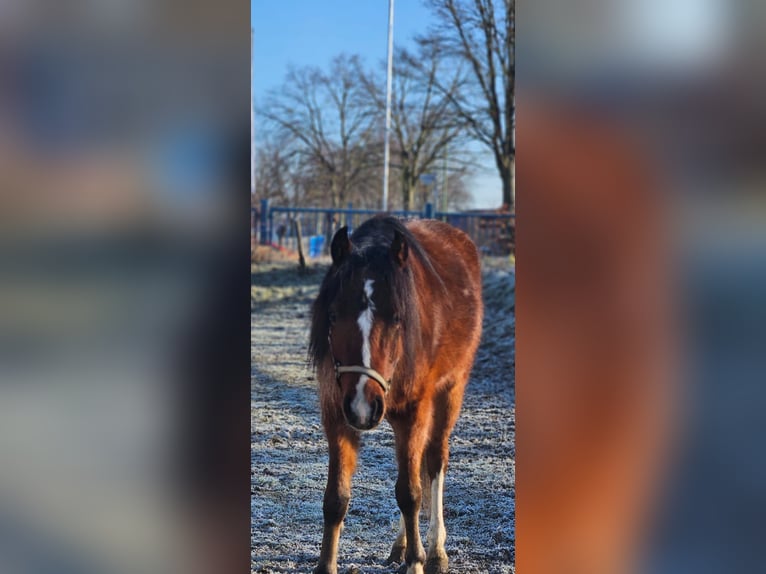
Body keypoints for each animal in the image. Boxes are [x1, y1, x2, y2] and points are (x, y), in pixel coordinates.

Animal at [308, 215, 484, 574]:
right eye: (333, 315)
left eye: (398, 318)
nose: (362, 406)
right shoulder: (336, 414)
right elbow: (336, 497)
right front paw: (326, 565)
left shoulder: (414, 412)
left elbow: (410, 493)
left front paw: (417, 561)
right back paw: (400, 546)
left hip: (449, 392)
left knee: (434, 462)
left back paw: (434, 550)